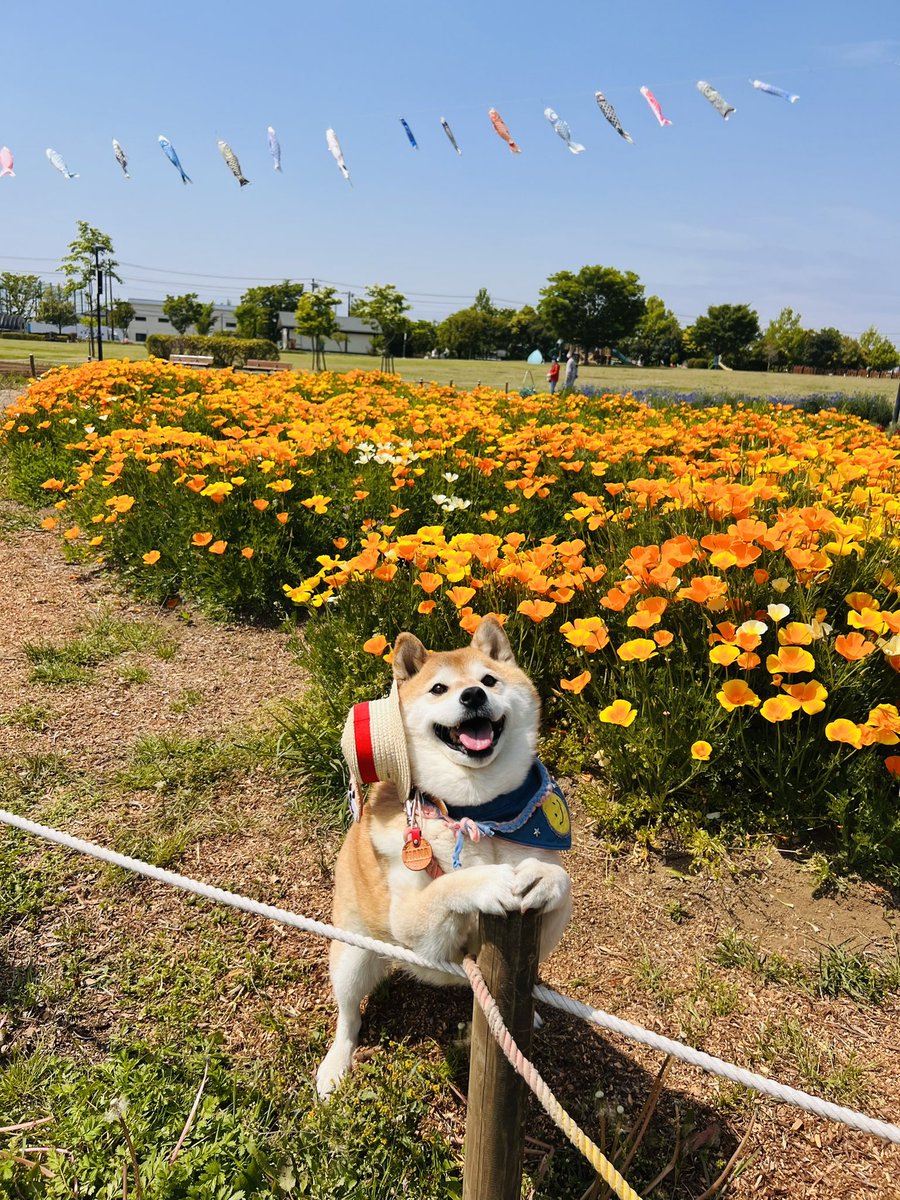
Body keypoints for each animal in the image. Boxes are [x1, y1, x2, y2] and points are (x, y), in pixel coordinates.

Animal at [315, 616, 572, 1097]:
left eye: (488, 680)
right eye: (438, 689)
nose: (473, 695)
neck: (479, 814)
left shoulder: (544, 930)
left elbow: (561, 883)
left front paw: (543, 877)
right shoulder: (418, 931)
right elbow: (447, 886)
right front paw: (487, 881)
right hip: (354, 954)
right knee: (348, 1015)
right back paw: (335, 1064)